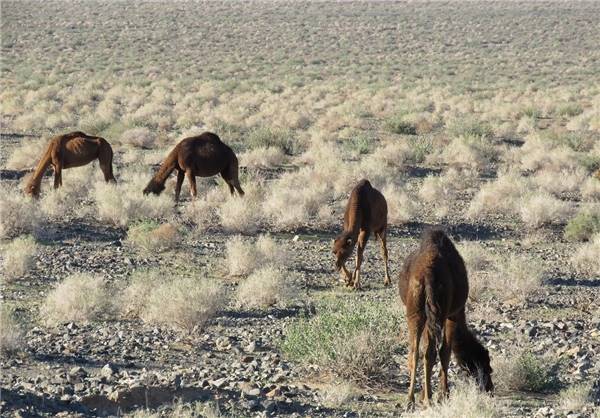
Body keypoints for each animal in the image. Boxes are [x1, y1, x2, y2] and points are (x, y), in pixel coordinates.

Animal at [398, 229, 492, 408]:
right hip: (440, 310)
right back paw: (428, 399)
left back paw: (410, 399)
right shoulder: (453, 314)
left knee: (415, 351)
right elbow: (445, 352)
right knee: (433, 351)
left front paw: (426, 394)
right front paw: (443, 394)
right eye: (487, 366)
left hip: (416, 310)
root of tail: (428, 274)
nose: (489, 388)